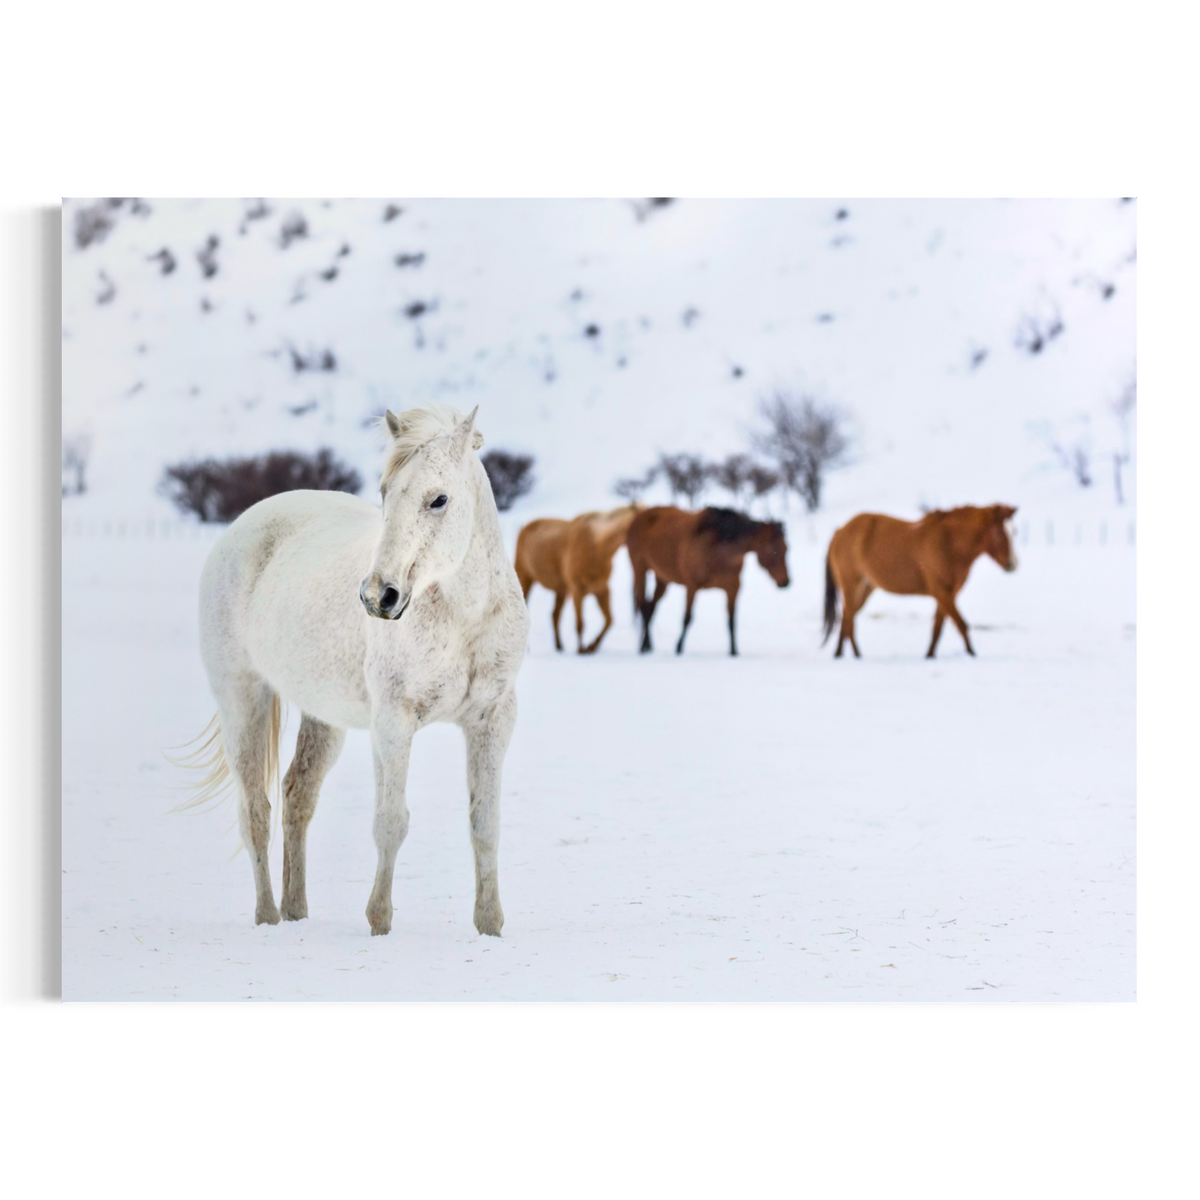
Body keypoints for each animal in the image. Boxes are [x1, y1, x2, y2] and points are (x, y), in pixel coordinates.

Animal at [189, 405, 529, 937]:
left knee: (298, 796)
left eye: (439, 499)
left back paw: (296, 911)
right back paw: (268, 918)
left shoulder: (493, 720)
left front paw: (489, 926)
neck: (463, 618)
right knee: (256, 812)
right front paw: (379, 922)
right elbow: (390, 823)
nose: (378, 596)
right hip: (242, 699)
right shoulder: (392, 723)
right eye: (385, 492)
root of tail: (243, 525)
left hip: (322, 717)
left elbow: (485, 825)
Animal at [514, 504, 641, 654]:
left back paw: (559, 646)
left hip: (561, 590)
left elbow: (609, 620)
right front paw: (581, 650)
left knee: (555, 615)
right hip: (525, 578)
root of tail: (524, 528)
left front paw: (592, 646)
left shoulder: (602, 590)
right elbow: (580, 624)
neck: (597, 547)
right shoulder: (577, 591)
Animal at [626, 506, 790, 656]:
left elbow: (731, 621)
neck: (718, 551)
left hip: (662, 578)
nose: (786, 582)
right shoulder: (692, 586)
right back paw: (643, 647)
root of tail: (638, 517)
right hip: (640, 569)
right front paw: (678, 648)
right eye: (773, 549)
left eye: (786, 548)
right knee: (643, 605)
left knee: (650, 608)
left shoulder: (733, 588)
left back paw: (648, 645)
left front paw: (733, 652)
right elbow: (687, 618)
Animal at [823, 504, 1018, 659]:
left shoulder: (949, 593)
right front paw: (972, 654)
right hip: (851, 585)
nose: (1013, 564)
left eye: (1014, 532)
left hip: (865, 588)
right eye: (998, 532)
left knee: (846, 616)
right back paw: (856, 655)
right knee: (848, 617)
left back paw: (840, 653)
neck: (949, 543)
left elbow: (938, 628)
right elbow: (961, 624)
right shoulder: (941, 591)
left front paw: (930, 655)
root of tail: (839, 532)